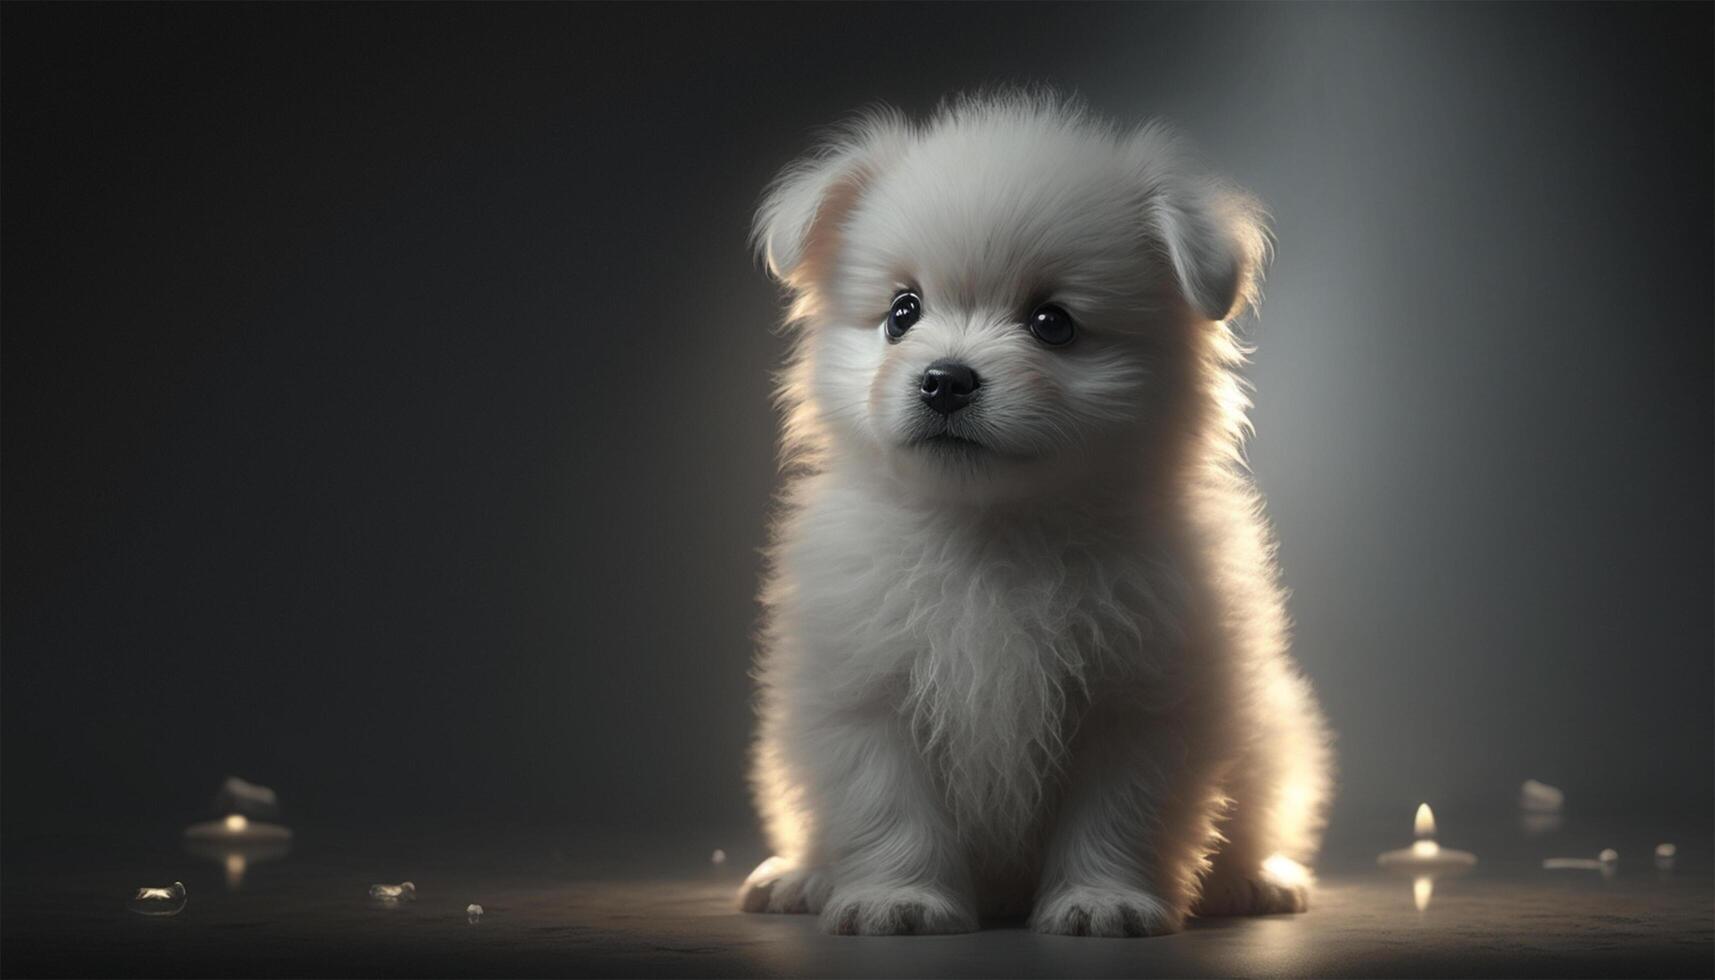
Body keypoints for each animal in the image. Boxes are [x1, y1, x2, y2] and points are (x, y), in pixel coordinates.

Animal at [737, 93, 1323, 940]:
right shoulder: (863, 694)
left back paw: (1255, 878)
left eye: (1053, 323)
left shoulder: (1141, 698)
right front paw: (898, 898)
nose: (944, 380)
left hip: (1276, 739)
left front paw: (1102, 900)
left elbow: (1120, 813)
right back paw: (799, 877)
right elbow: (888, 805)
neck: (992, 527)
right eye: (901, 313)